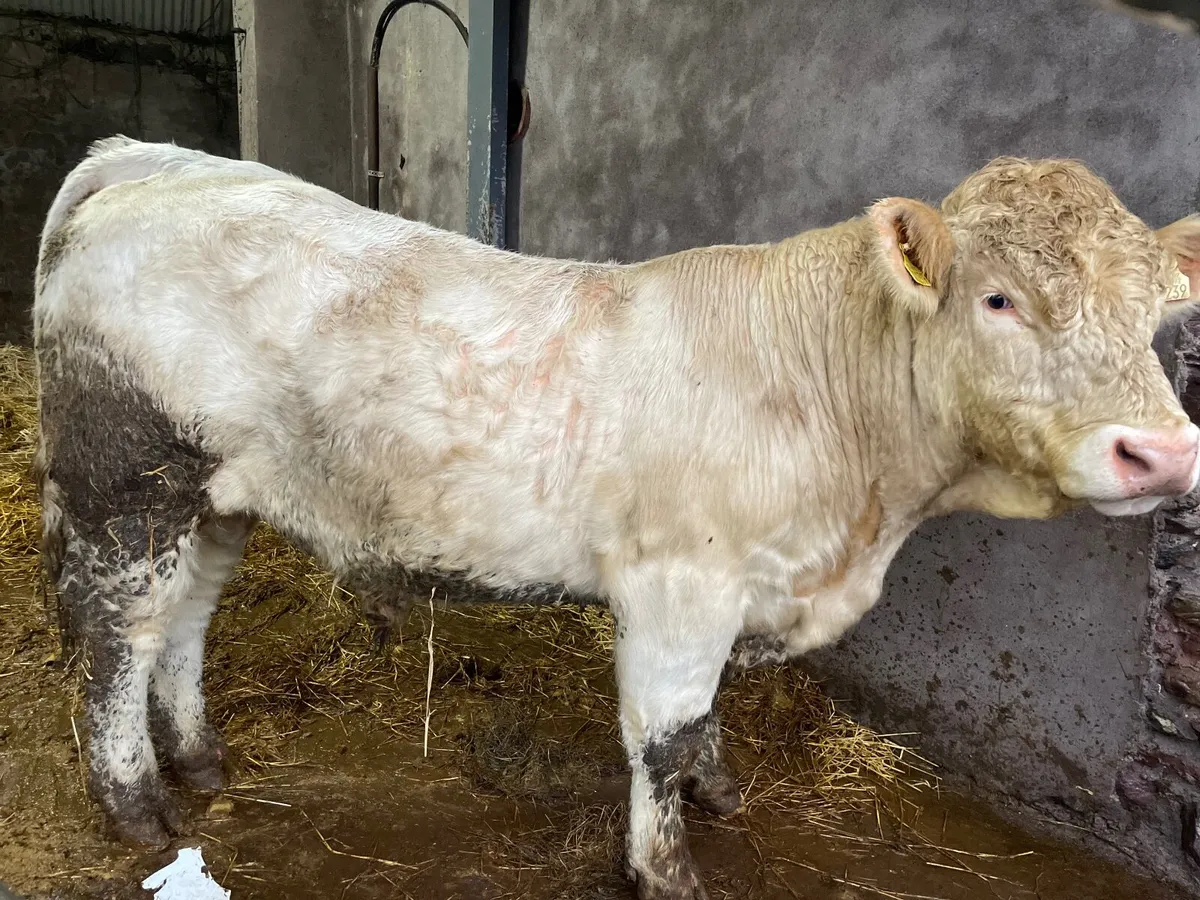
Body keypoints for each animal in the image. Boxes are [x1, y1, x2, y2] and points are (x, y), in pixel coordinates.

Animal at [33, 136, 1200, 900]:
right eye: (999, 299)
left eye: (1154, 312)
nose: (1162, 452)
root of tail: (153, 160)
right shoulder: (679, 582)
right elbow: (662, 730)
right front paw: (666, 865)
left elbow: (706, 715)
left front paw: (720, 790)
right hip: (129, 480)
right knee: (120, 635)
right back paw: (134, 801)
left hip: (214, 496)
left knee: (185, 620)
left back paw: (200, 757)